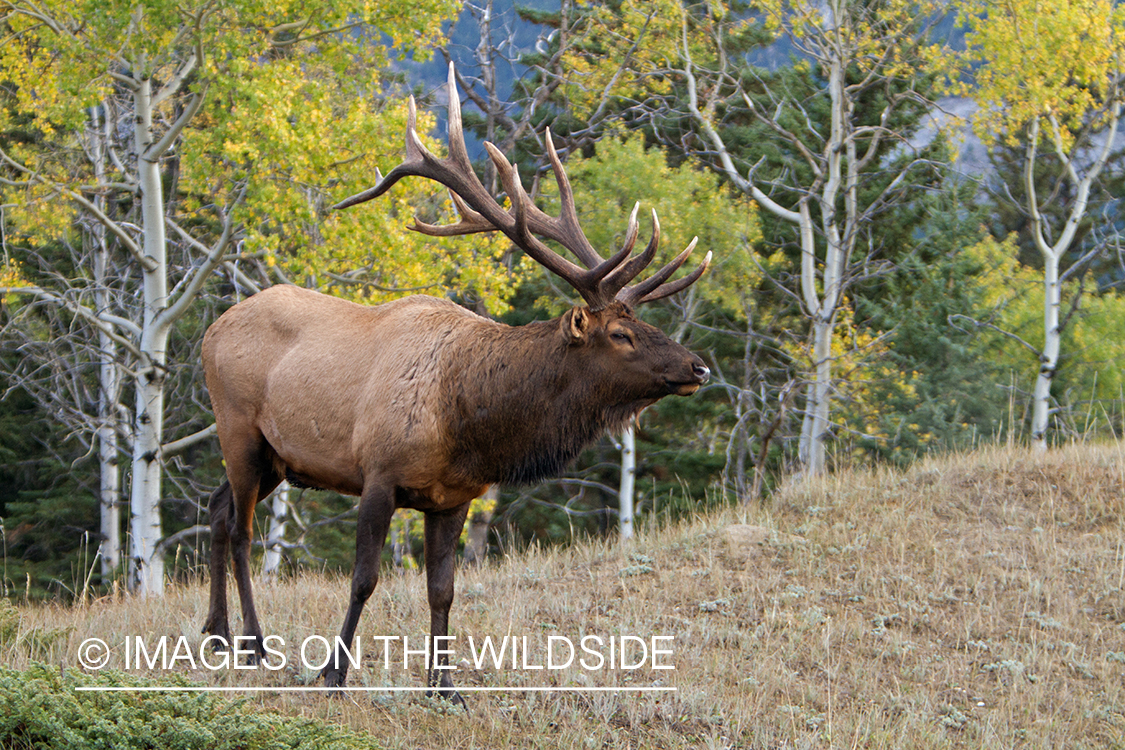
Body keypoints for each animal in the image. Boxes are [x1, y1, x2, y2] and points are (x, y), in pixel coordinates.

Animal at [202, 66, 711, 706]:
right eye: (620, 334)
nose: (698, 368)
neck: (466, 422)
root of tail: (210, 330)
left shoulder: (454, 497)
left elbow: (442, 590)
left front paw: (445, 686)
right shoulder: (378, 472)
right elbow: (364, 579)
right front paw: (334, 673)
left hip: (277, 457)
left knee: (217, 507)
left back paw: (215, 634)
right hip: (238, 427)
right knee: (242, 530)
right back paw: (252, 644)